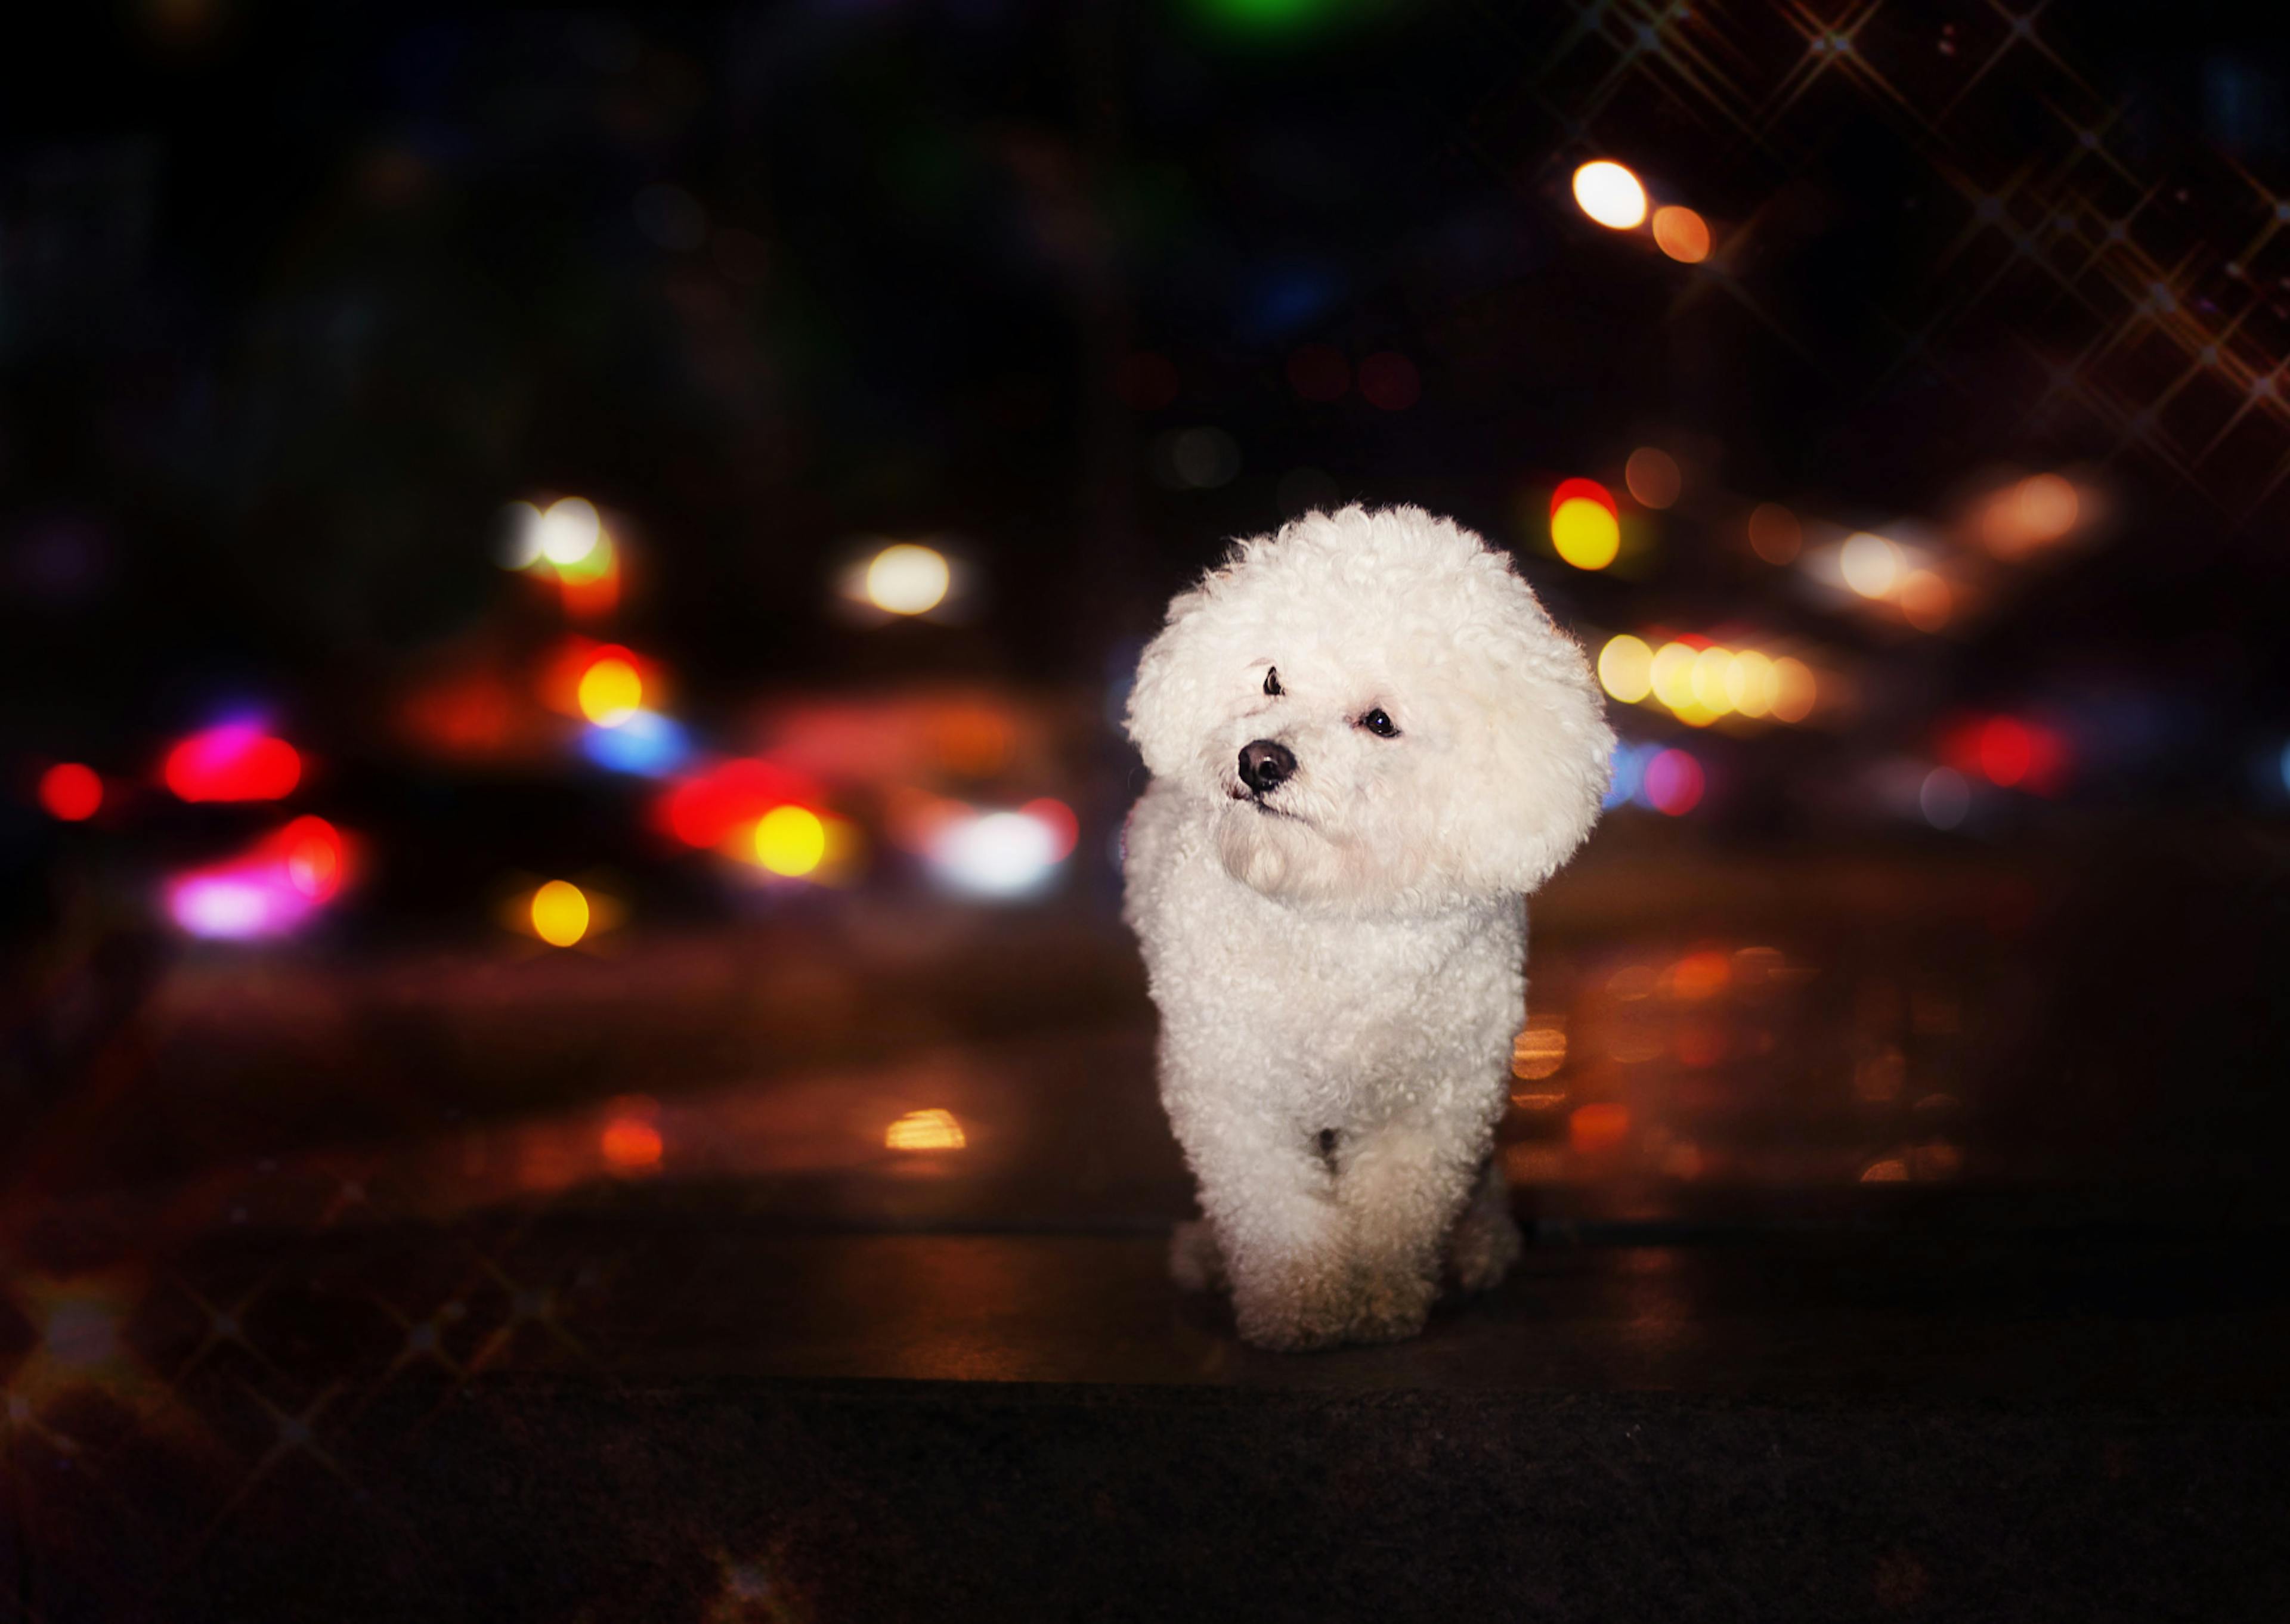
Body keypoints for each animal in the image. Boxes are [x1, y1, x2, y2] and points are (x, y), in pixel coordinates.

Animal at [1122, 504, 1612, 1347]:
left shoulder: (1434, 1102)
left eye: (1379, 722)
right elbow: (1272, 1209)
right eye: (1272, 679)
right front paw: (1299, 1305)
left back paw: (1478, 1247)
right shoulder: (1231, 1088)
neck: (1336, 914)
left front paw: (1384, 1300)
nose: (1260, 760)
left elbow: (1395, 1212)